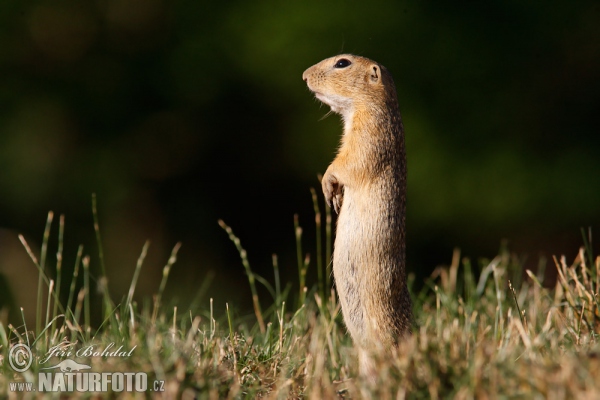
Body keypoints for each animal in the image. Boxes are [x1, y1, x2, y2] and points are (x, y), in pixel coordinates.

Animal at [302, 54, 410, 376]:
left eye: (342, 63)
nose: (304, 76)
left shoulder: (369, 134)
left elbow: (347, 162)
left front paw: (328, 183)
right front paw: (335, 196)